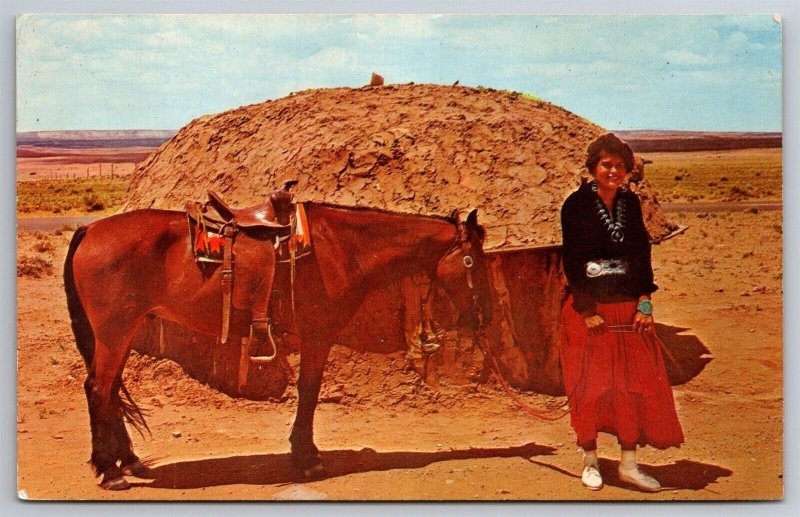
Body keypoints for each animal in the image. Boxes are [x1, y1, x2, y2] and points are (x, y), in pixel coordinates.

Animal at [65, 201, 494, 488]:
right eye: (473, 260)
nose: (486, 314)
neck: (342, 247)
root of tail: (90, 230)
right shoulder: (317, 334)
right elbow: (309, 391)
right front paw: (306, 459)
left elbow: (308, 392)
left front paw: (303, 453)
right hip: (114, 331)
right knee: (98, 388)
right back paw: (109, 471)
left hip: (123, 332)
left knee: (110, 390)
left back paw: (130, 461)